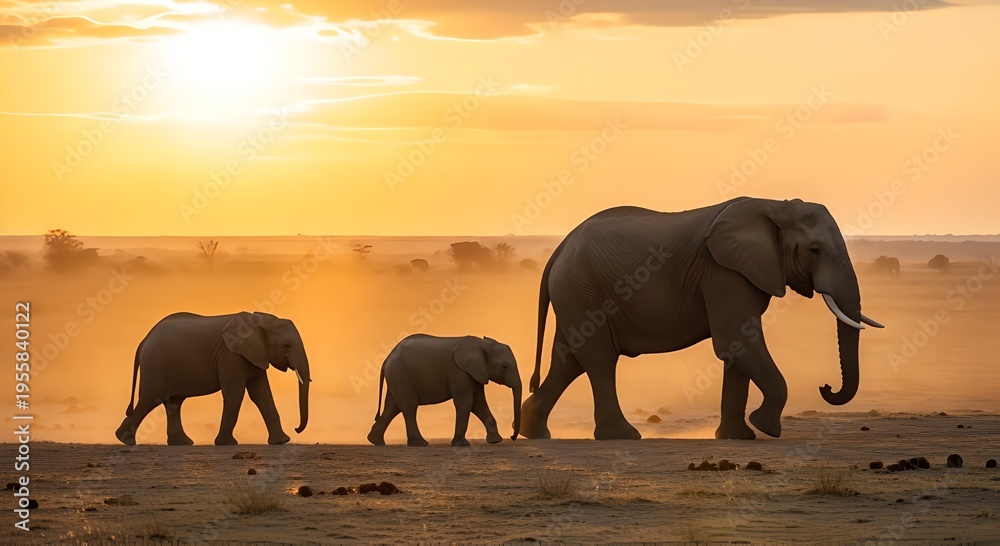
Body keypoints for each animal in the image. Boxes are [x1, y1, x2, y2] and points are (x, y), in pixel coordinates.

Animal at [114, 311, 311, 446]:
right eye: (286, 345)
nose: (296, 428)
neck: (260, 320)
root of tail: (144, 340)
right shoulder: (231, 355)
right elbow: (235, 394)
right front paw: (227, 444)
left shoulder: (254, 355)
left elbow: (261, 394)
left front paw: (281, 441)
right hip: (156, 364)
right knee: (150, 399)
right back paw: (125, 440)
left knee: (173, 402)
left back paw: (182, 443)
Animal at [367, 334, 522, 447]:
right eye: (504, 366)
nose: (512, 436)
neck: (482, 344)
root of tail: (386, 359)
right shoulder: (459, 371)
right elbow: (465, 403)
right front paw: (461, 445)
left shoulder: (475, 373)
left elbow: (479, 404)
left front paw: (495, 441)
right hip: (399, 374)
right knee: (409, 406)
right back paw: (421, 444)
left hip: (397, 376)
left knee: (392, 407)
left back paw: (375, 442)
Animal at [520, 197, 884, 441]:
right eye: (814, 250)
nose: (825, 386)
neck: (773, 206)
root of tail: (560, 248)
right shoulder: (722, 271)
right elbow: (737, 340)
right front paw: (765, 428)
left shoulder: (739, 273)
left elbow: (737, 349)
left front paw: (738, 437)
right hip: (581, 288)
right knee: (599, 358)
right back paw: (621, 435)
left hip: (575, 292)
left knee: (569, 360)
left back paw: (534, 432)